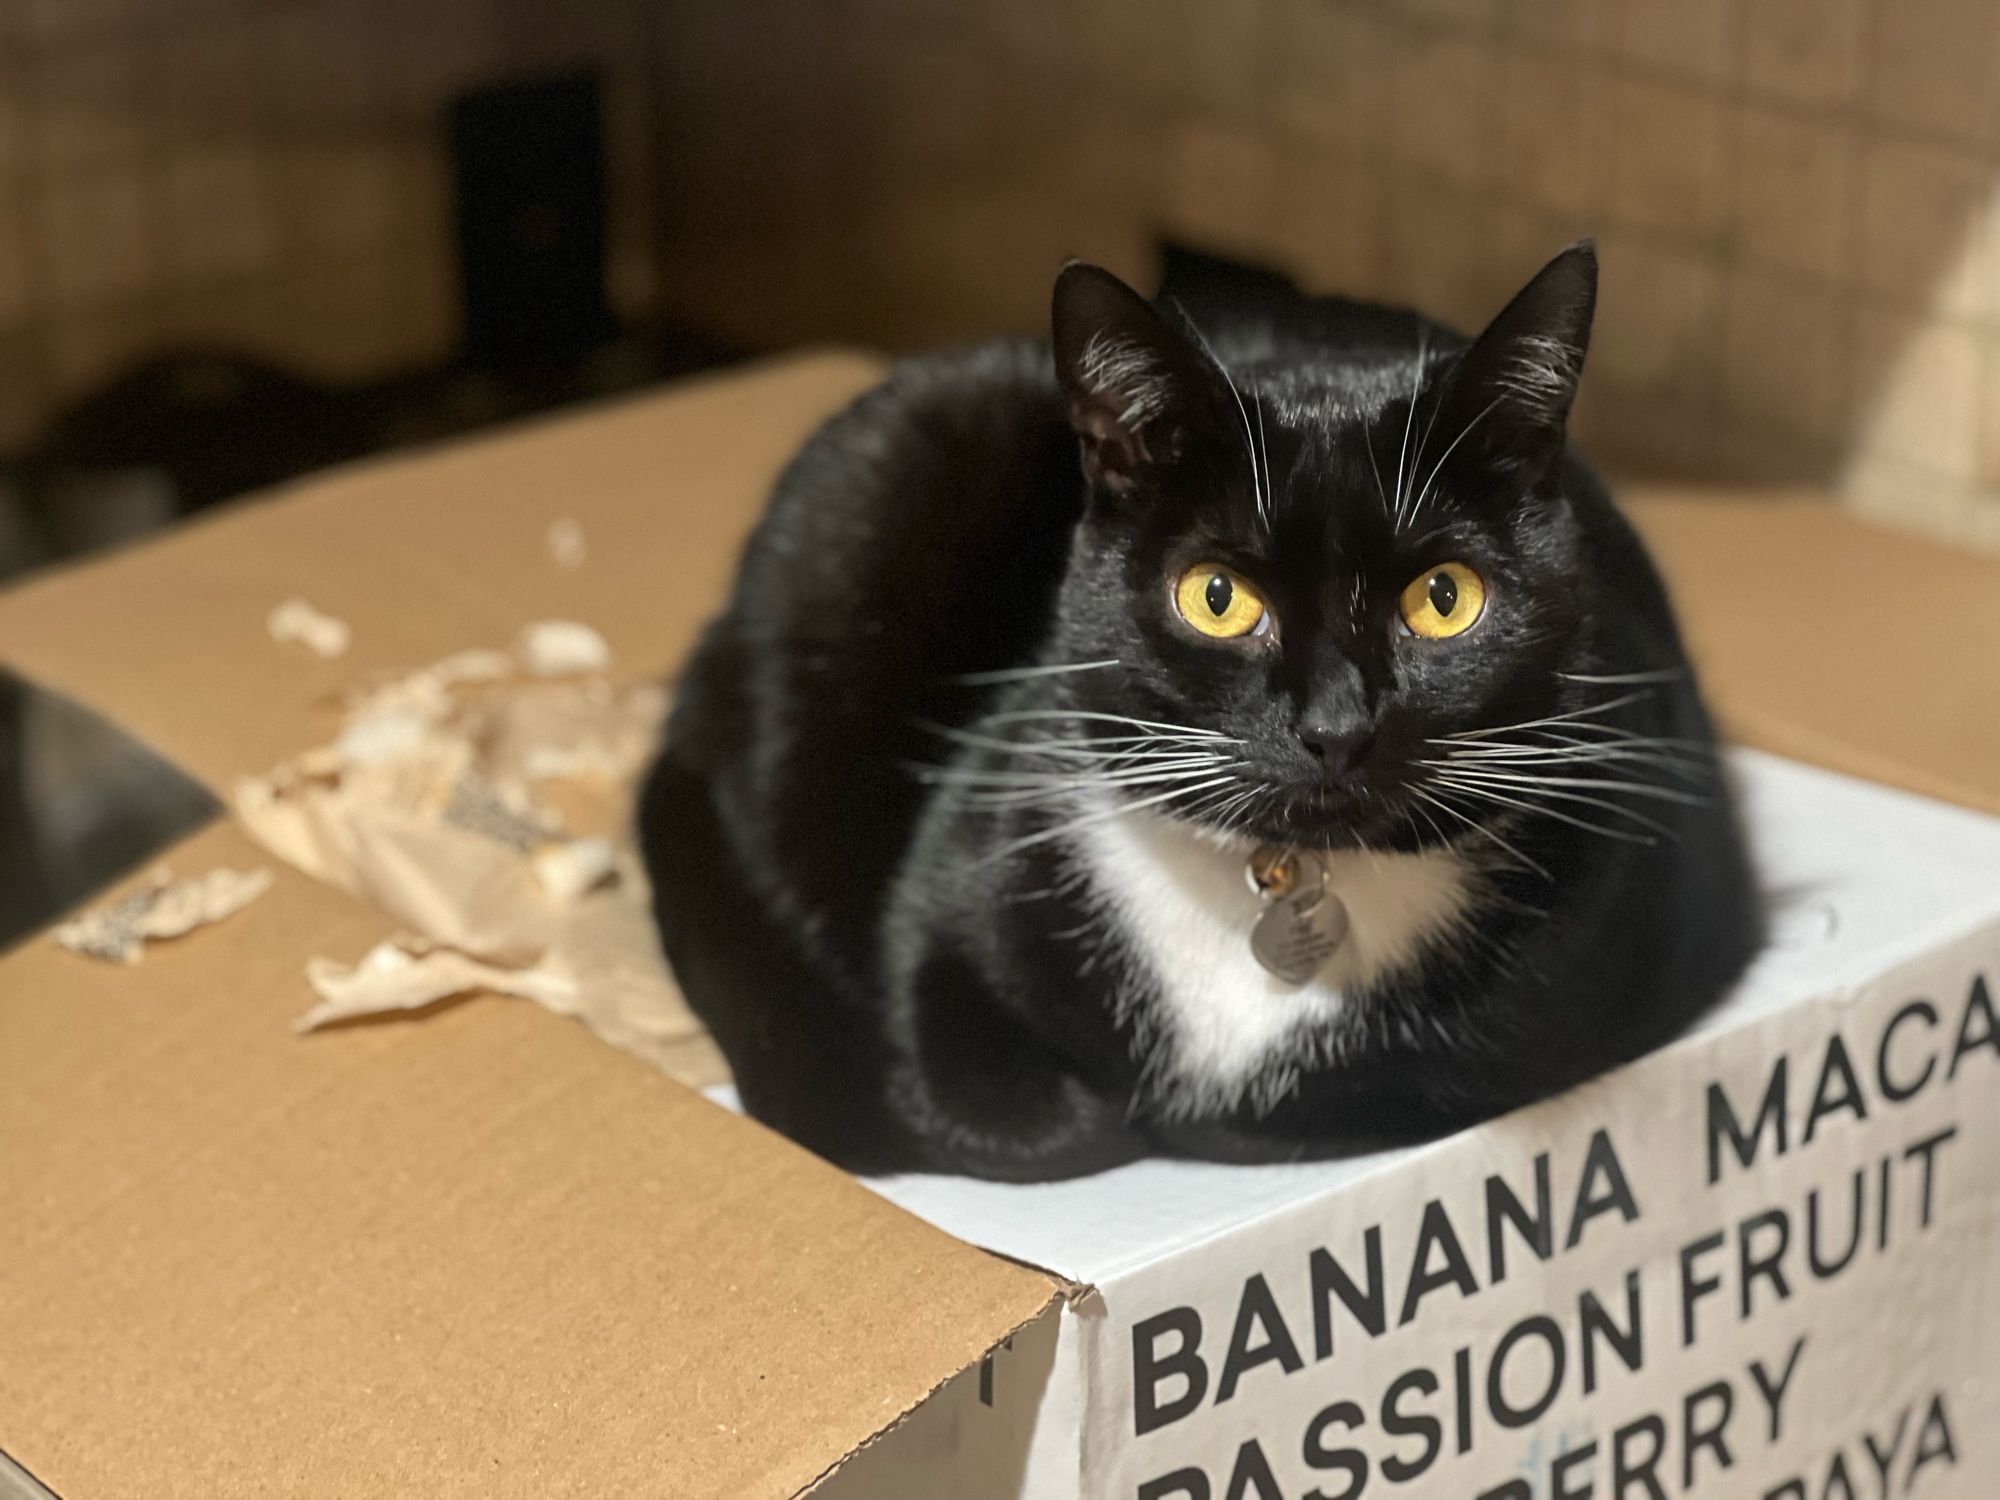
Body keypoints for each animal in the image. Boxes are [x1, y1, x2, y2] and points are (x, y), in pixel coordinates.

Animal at [644, 250, 1768, 1184]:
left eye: (1444, 599)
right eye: (1217, 598)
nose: (1334, 726)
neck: (1283, 883)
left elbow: (1340, 1095)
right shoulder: (962, 869)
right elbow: (1004, 1097)